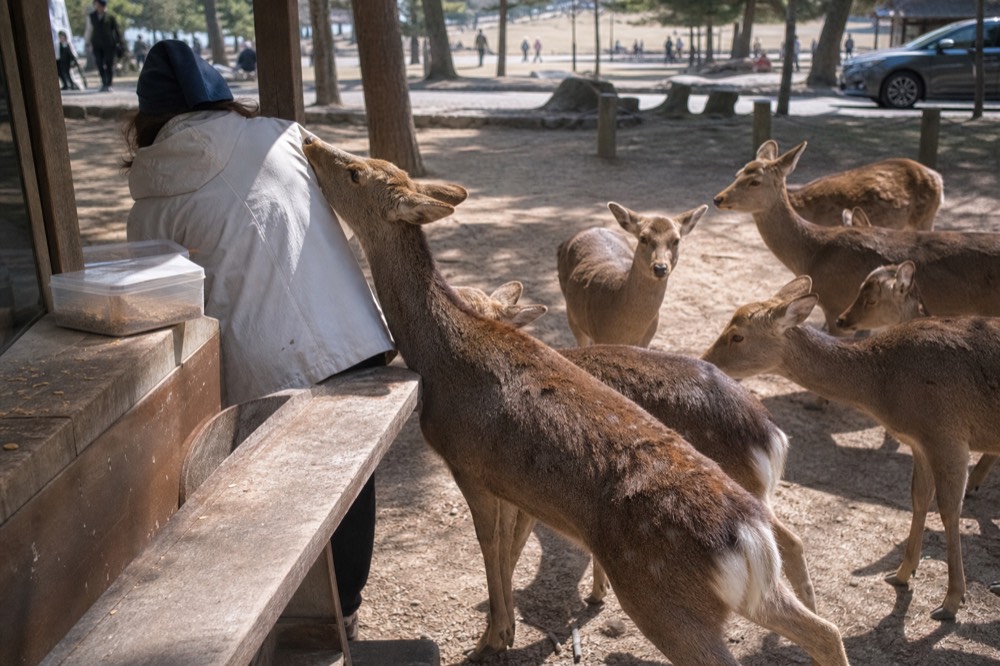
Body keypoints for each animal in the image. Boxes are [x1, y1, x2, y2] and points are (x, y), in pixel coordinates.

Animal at [557, 202, 707, 347]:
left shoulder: (647, 339)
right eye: (643, 238)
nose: (660, 268)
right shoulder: (599, 335)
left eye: (676, 240)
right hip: (572, 316)